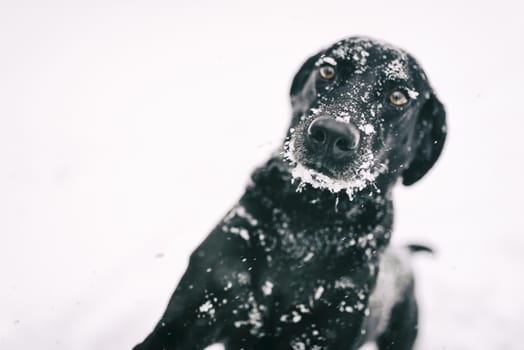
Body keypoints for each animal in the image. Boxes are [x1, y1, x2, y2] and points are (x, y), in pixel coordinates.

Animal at [135, 37, 446, 348]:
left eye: (398, 97)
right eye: (328, 71)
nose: (332, 134)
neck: (307, 223)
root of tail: (404, 256)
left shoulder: (321, 332)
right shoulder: (193, 311)